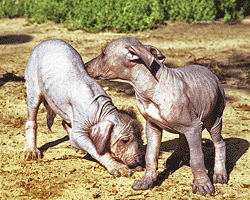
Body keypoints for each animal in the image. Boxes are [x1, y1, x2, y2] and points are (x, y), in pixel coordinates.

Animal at [25, 39, 144, 177]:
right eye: (125, 140)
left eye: (140, 137)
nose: (139, 161)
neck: (100, 109)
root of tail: (45, 41)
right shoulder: (80, 130)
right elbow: (98, 151)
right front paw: (118, 167)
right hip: (33, 87)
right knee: (32, 120)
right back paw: (31, 150)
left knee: (64, 122)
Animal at [85, 37, 228, 195]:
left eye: (103, 54)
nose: (85, 65)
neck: (150, 89)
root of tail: (209, 71)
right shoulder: (153, 127)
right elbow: (150, 155)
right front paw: (147, 180)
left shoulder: (193, 127)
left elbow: (196, 158)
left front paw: (202, 184)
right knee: (182, 138)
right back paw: (174, 159)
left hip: (213, 119)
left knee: (219, 143)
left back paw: (220, 174)